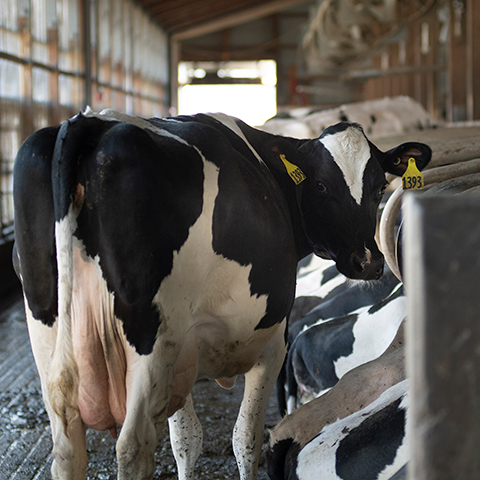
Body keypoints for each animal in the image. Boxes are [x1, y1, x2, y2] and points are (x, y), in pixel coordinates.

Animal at [12, 109, 432, 480]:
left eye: (379, 186)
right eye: (321, 185)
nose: (369, 262)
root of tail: (93, 124)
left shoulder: (182, 356)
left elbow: (186, 441)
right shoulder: (270, 342)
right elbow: (246, 440)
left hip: (54, 341)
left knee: (67, 449)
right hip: (149, 344)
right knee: (132, 449)